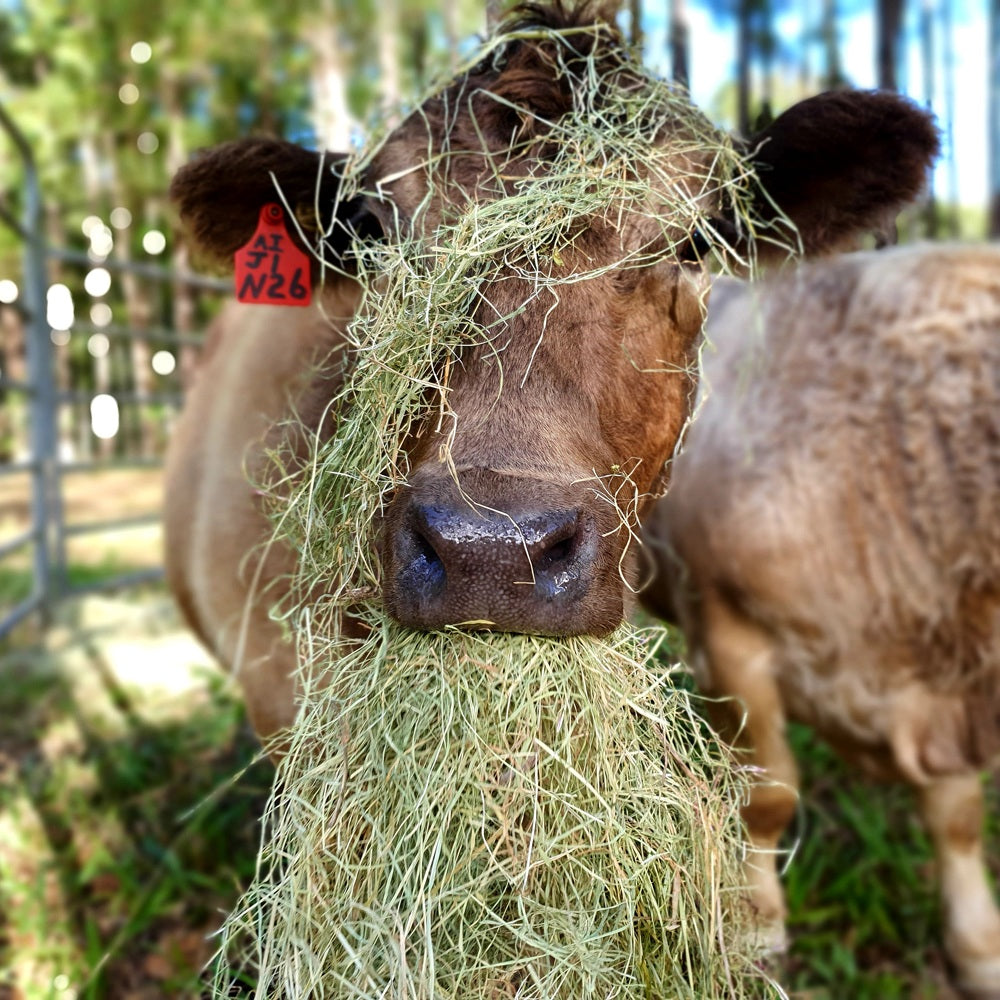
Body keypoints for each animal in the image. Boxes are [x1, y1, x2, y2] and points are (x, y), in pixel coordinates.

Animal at [644, 244, 1000, 1000]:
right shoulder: (728, 634)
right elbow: (768, 795)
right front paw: (755, 926)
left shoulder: (943, 675)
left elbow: (957, 816)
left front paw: (979, 946)